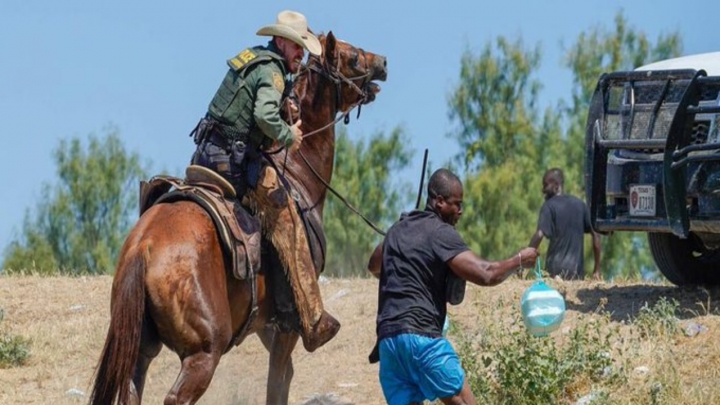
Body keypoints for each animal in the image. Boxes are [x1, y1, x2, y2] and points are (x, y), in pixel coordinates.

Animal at [89, 32, 388, 404]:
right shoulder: (288, 323)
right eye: (352, 57)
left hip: (140, 351)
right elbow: (278, 382)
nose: (383, 62)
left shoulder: (264, 322)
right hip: (204, 353)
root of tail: (143, 248)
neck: (298, 173)